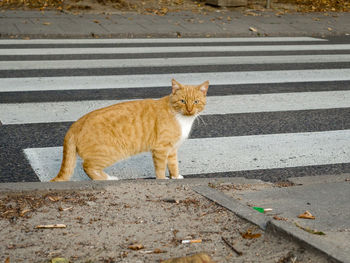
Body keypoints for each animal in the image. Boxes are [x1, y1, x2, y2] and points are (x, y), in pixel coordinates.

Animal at [50, 78, 209, 182]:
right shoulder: (161, 149)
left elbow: (174, 165)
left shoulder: (172, 149)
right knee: (87, 166)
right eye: (183, 101)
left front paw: (175, 177)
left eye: (196, 102)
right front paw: (162, 180)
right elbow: (160, 168)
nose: (190, 110)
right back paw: (107, 179)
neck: (182, 119)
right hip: (109, 152)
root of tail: (76, 123)